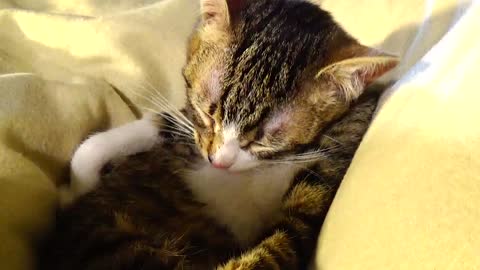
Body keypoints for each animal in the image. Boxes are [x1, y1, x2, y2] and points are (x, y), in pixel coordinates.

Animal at [39, 1, 398, 268]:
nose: (219, 162)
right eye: (208, 112)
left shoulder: (328, 167)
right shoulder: (190, 127)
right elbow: (148, 127)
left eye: (264, 138)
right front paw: (77, 186)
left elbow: (282, 242)